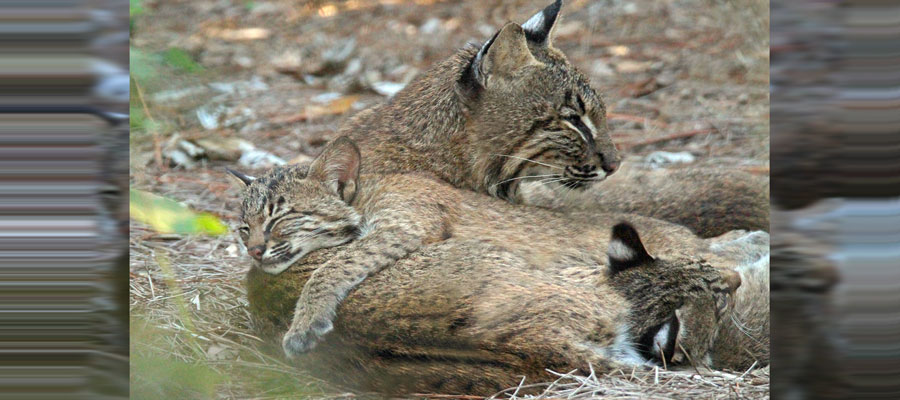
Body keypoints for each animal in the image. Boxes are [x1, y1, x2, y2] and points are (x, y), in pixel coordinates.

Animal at [225, 137, 752, 356]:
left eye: (280, 217)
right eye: (243, 228)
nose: (253, 252)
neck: (369, 190)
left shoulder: (404, 226)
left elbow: (332, 267)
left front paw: (305, 324)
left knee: (717, 279)